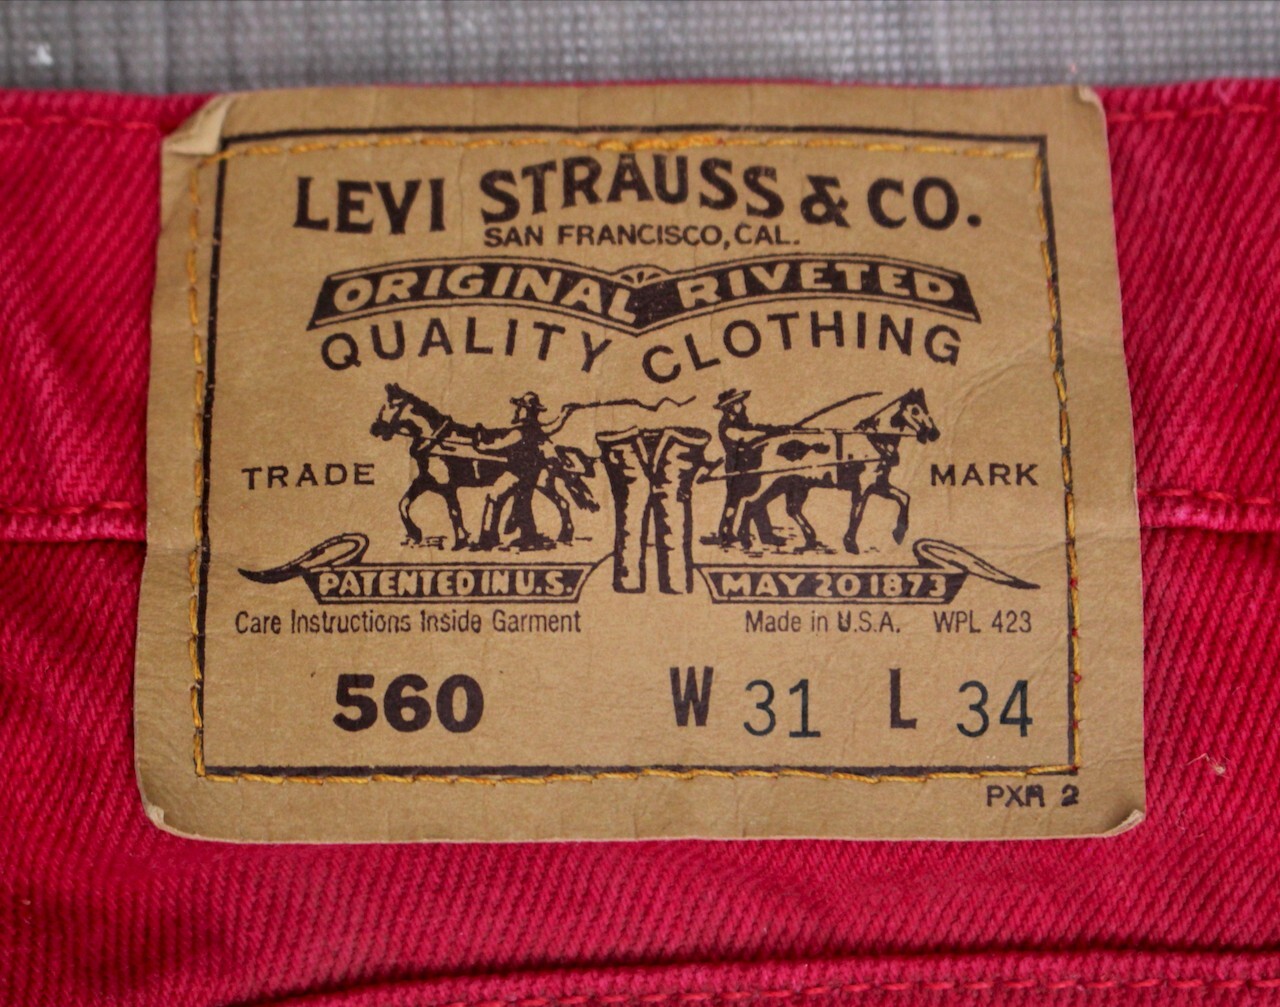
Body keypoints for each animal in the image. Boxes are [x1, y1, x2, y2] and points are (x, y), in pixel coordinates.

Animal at [729, 389, 940, 554]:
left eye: (926, 408)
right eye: (915, 410)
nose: (934, 433)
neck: (874, 440)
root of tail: (758, 444)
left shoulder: (879, 483)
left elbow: (904, 497)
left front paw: (898, 534)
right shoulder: (863, 487)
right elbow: (857, 513)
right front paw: (851, 544)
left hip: (793, 484)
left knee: (786, 508)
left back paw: (808, 540)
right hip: (771, 482)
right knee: (750, 503)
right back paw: (745, 539)